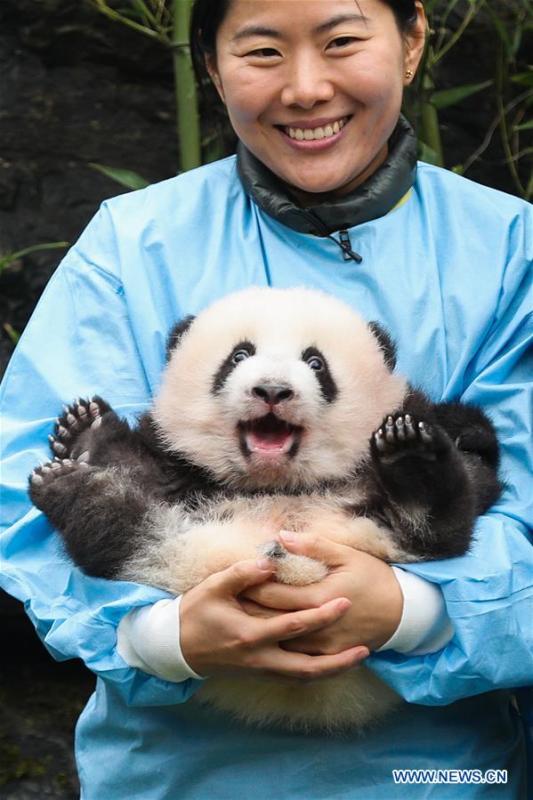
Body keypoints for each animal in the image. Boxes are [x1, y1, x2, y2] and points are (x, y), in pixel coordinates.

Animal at [29, 286, 500, 732]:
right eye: (239, 355)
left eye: (316, 363)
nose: (272, 390)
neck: (274, 483)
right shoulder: (182, 468)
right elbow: (146, 467)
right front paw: (89, 434)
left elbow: (471, 475)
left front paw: (425, 436)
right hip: (176, 549)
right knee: (116, 531)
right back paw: (80, 454)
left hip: (384, 535)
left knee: (439, 523)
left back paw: (413, 462)